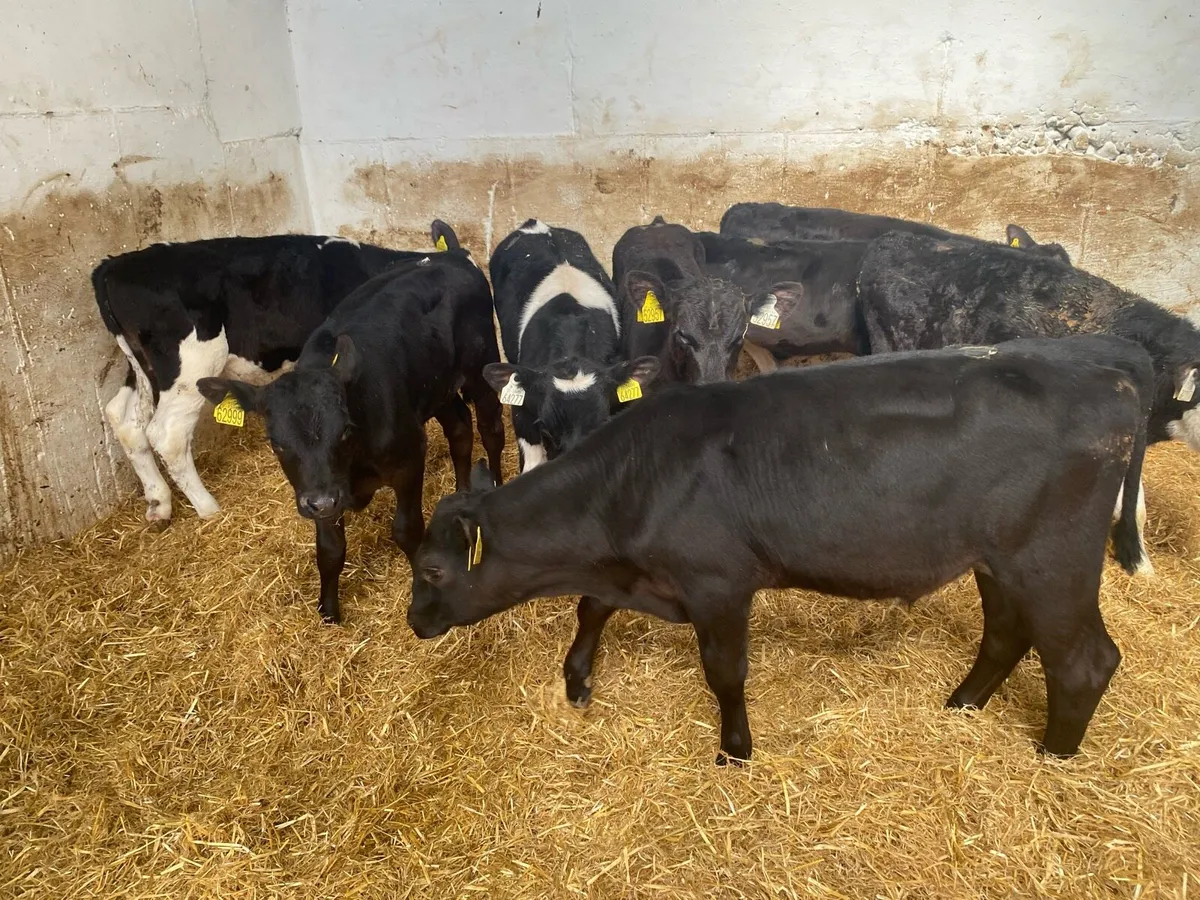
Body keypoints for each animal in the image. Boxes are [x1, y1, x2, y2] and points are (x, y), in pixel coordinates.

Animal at [94, 221, 464, 523]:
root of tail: (113, 265)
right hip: (190, 365)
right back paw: (209, 508)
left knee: (124, 419)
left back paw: (159, 504)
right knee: (167, 433)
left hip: (142, 368)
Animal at [195, 247, 504, 624]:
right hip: (437, 389)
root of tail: (451, 255)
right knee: (459, 429)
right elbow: (329, 550)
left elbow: (406, 530)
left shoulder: (408, 461)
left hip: (481, 366)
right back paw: (462, 491)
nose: (322, 502)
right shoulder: (325, 490)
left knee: (491, 430)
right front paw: (329, 612)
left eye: (343, 430)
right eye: (276, 442)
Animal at [406, 338, 1144, 764]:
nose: (414, 621)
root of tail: (1112, 380)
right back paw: (964, 704)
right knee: (1007, 632)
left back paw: (1053, 757)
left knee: (1084, 660)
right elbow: (590, 607)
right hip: (998, 560)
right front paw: (577, 679)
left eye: (433, 569)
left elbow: (726, 673)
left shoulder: (718, 583)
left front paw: (735, 750)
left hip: (1053, 561)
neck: (632, 479)